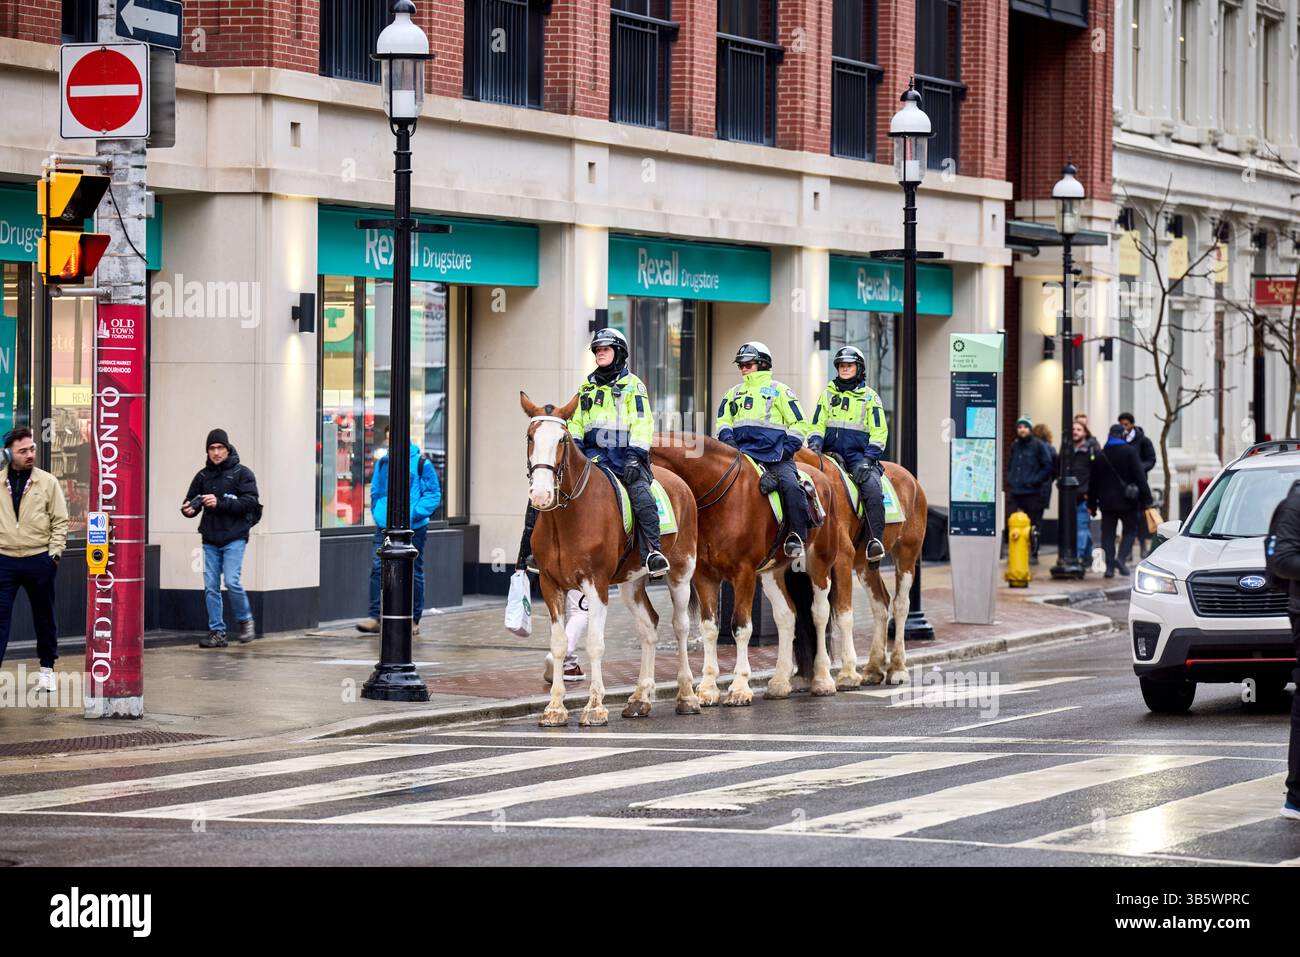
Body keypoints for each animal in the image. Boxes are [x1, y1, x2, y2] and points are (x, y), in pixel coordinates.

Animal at [520, 393, 700, 727]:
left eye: (562, 439)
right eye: (530, 437)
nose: (540, 494)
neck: (567, 517)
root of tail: (681, 483)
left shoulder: (596, 585)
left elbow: (594, 643)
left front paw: (595, 706)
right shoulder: (551, 585)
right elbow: (559, 644)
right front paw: (555, 708)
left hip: (681, 572)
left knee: (680, 626)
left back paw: (687, 696)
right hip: (631, 583)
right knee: (649, 627)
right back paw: (640, 699)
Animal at [652, 434, 841, 705]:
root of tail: (822, 478)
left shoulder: (744, 574)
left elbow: (741, 627)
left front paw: (740, 687)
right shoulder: (705, 576)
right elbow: (709, 628)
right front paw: (708, 688)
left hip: (819, 564)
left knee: (819, 614)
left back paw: (823, 679)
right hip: (773, 573)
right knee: (787, 616)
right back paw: (779, 682)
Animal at [796, 450, 928, 686]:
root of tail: (911, 479)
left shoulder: (842, 559)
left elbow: (844, 614)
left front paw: (847, 673)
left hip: (907, 555)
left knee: (901, 605)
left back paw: (898, 668)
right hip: (866, 567)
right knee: (881, 604)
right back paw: (874, 668)